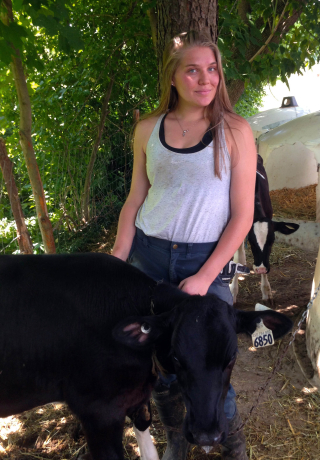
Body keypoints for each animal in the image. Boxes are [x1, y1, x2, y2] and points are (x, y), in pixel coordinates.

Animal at [231, 155, 298, 302]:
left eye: (272, 241)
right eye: (251, 241)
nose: (261, 269)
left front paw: (266, 290)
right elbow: (237, 259)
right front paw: (232, 291)